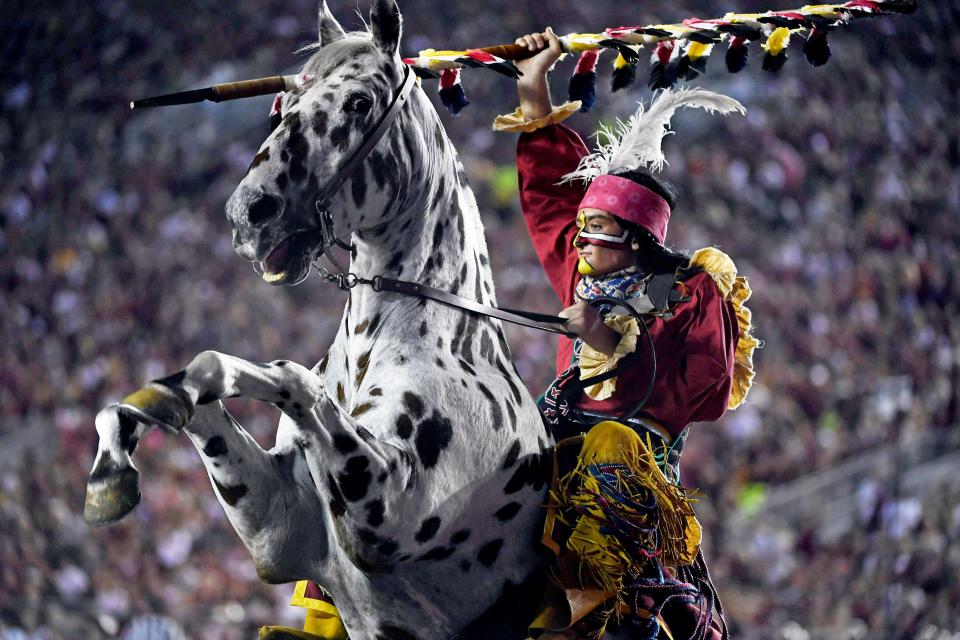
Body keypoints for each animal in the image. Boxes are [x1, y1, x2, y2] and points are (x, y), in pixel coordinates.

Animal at [87, 1, 564, 640]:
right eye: (284, 103)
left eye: (359, 102)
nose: (247, 215)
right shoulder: (280, 535)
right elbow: (209, 371)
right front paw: (127, 437)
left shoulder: (390, 512)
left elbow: (291, 378)